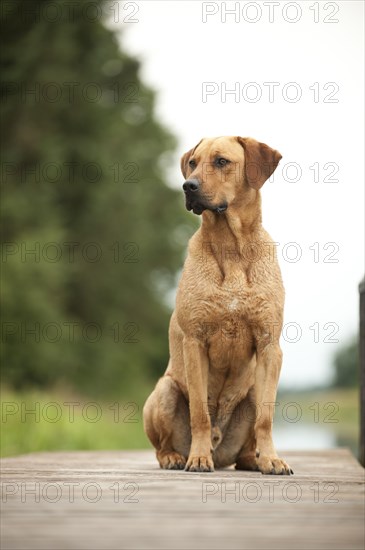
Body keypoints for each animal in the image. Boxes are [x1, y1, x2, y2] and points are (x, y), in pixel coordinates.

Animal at [143, 136, 292, 476]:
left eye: (222, 161)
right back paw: (176, 457)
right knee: (161, 446)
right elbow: (200, 412)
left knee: (247, 444)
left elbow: (266, 418)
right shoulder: (195, 342)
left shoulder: (269, 345)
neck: (231, 246)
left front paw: (272, 459)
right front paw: (198, 459)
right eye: (193, 163)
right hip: (163, 391)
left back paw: (254, 459)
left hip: (251, 391)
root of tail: (221, 448)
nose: (188, 186)